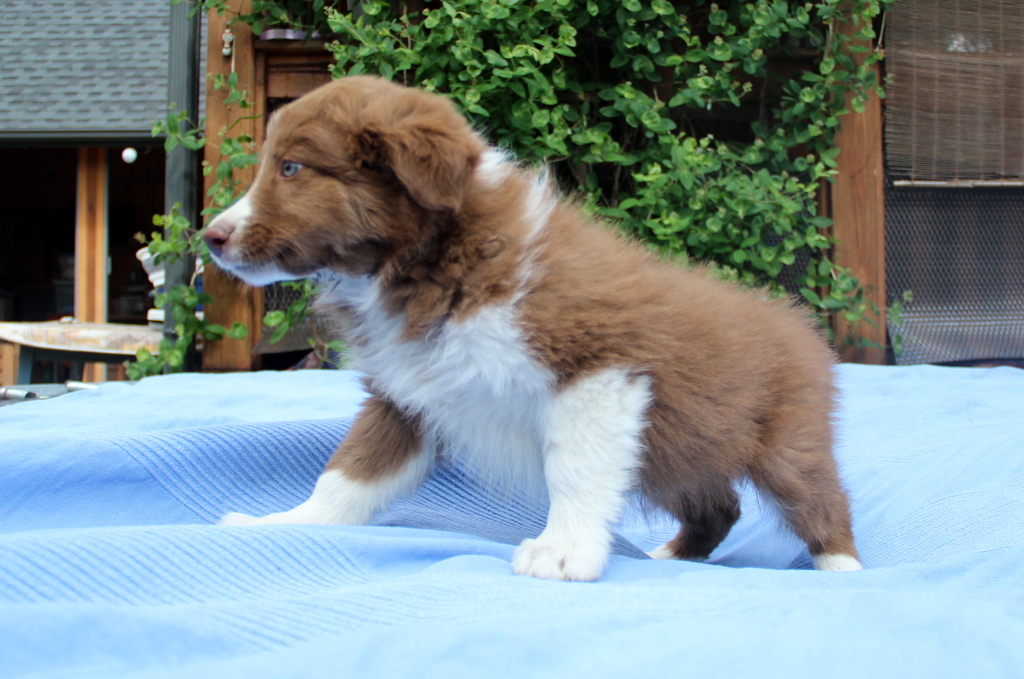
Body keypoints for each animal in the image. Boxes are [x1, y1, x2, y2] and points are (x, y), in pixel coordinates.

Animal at [202, 76, 862, 581]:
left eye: (291, 167)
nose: (211, 236)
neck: (439, 260)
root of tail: (792, 318)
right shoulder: (406, 396)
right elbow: (347, 473)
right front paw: (284, 524)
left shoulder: (596, 370)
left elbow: (571, 466)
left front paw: (563, 552)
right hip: (679, 450)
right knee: (718, 505)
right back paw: (673, 554)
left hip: (784, 441)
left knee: (820, 500)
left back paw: (843, 571)